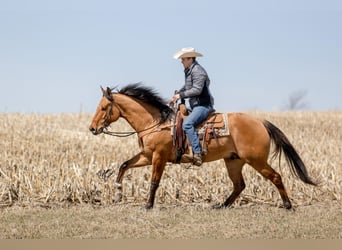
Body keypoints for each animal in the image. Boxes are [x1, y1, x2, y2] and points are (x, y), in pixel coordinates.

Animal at [88, 83, 316, 209]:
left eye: (104, 107)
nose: (92, 128)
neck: (156, 122)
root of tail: (260, 122)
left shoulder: (159, 157)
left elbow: (154, 182)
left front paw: (148, 205)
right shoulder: (146, 155)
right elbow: (124, 166)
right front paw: (118, 194)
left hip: (257, 161)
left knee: (275, 177)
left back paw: (287, 205)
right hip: (234, 161)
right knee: (239, 185)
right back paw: (222, 205)